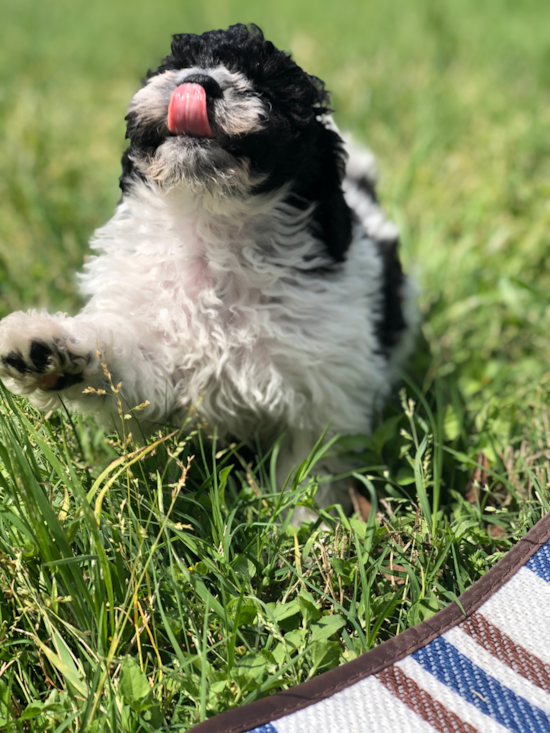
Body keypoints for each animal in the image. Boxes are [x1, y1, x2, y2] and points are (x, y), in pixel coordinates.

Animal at [0, 21, 416, 516]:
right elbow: (122, 365)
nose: (199, 82)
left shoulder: (323, 389)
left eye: (265, 87)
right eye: (179, 64)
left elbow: (311, 467)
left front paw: (301, 524)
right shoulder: (154, 349)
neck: (210, 225)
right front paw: (46, 349)